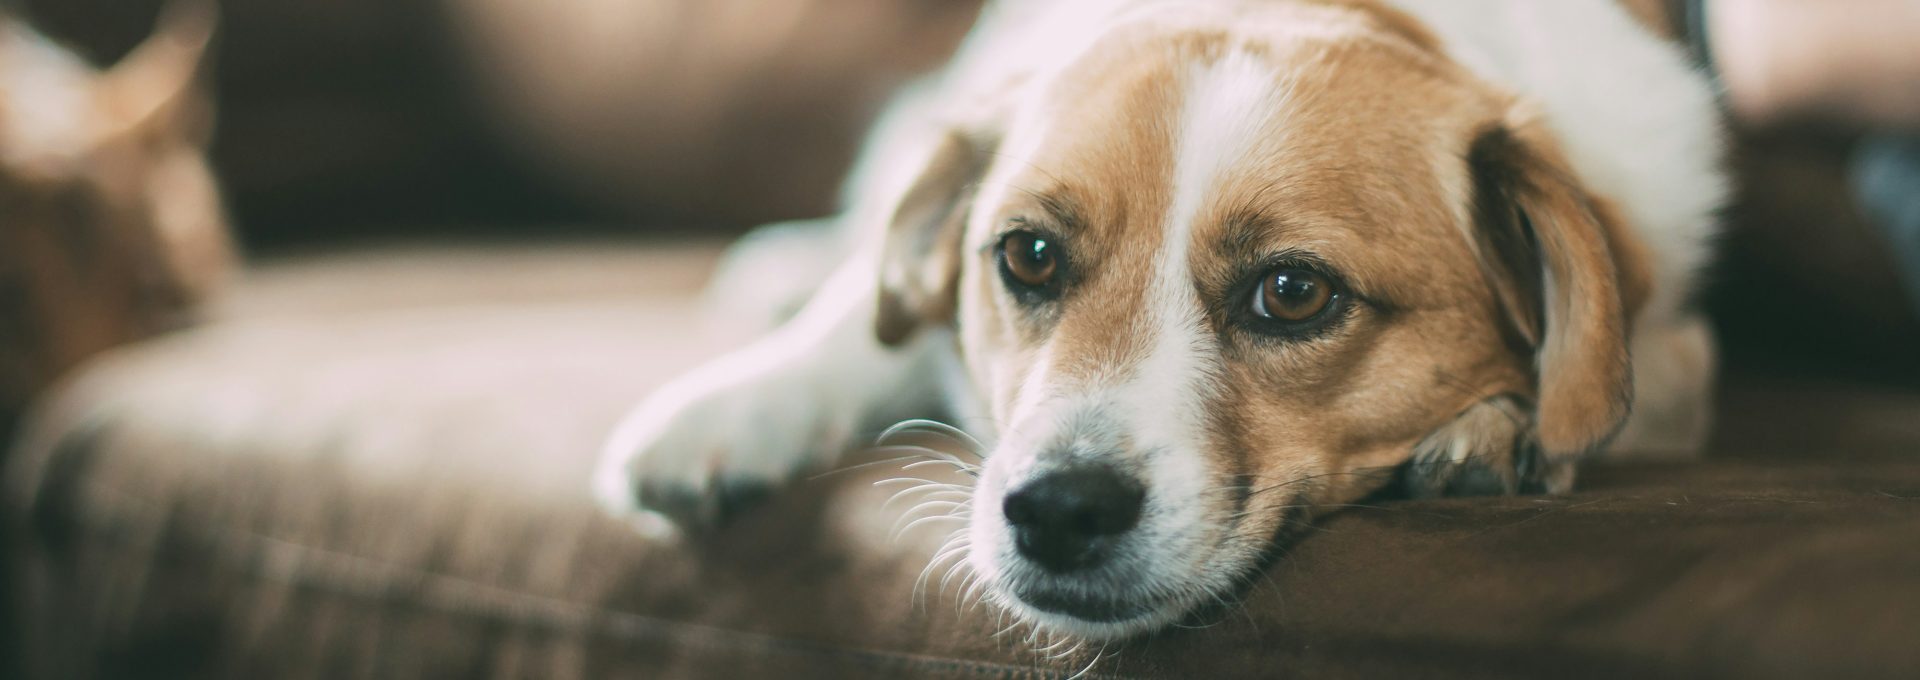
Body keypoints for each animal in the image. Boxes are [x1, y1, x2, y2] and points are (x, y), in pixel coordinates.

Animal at [591, 0, 1720, 641]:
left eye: (1294, 291)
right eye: (1028, 255)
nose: (1055, 511)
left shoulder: (1674, 345)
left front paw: (1494, 429)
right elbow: (861, 324)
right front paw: (733, 408)